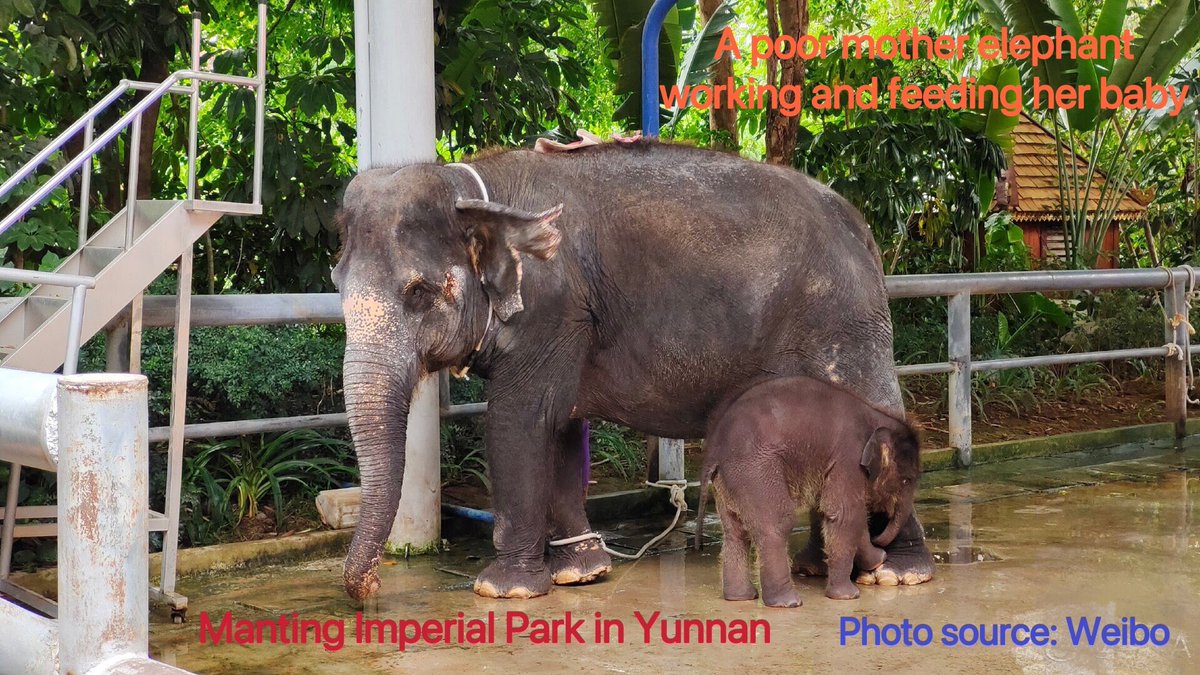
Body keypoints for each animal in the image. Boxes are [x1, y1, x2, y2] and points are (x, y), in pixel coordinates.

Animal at [694, 375, 921, 607]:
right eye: (907, 480)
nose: (880, 542)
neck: (876, 417)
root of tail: (713, 450)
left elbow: (840, 513)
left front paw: (877, 560)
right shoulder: (848, 457)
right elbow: (845, 514)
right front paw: (848, 595)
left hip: (728, 483)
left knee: (735, 531)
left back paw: (740, 597)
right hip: (755, 472)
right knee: (777, 524)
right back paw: (788, 603)